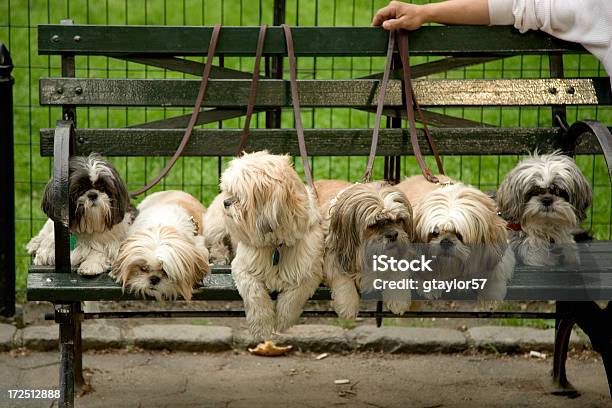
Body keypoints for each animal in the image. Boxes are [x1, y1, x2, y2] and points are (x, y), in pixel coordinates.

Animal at [220, 151, 326, 340]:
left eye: (239, 196)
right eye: (228, 190)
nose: (226, 202)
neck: (276, 245)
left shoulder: (310, 272)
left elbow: (294, 297)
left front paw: (283, 320)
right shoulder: (242, 268)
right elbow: (254, 293)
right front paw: (261, 326)